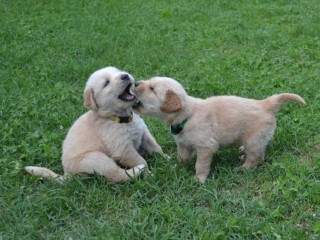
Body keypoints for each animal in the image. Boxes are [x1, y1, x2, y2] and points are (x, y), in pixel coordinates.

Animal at [25, 66, 162, 183]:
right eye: (106, 83)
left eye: (118, 71)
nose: (125, 75)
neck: (120, 118)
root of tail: (66, 173)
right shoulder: (123, 149)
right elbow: (140, 160)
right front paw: (150, 175)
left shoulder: (144, 133)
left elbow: (156, 147)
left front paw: (165, 159)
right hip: (95, 158)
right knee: (116, 175)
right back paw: (137, 171)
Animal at [132, 76, 304, 182]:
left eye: (152, 89)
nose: (136, 83)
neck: (187, 115)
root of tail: (265, 104)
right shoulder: (183, 144)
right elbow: (183, 158)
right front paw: (178, 168)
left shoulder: (206, 146)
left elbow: (200, 164)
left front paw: (199, 179)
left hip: (254, 139)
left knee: (257, 157)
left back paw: (243, 168)